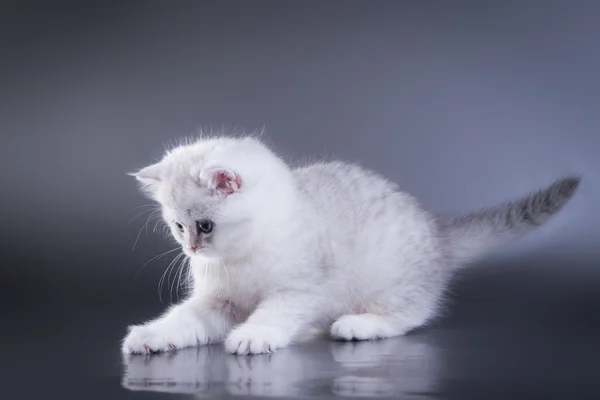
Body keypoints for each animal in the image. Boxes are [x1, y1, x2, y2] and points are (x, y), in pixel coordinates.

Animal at [120, 135, 580, 356]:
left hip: (388, 281)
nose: (192, 250)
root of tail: (436, 229)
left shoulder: (300, 289)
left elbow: (275, 312)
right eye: (178, 227)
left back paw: (358, 325)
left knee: (410, 315)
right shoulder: (218, 302)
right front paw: (151, 337)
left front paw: (253, 335)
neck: (242, 256)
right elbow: (184, 320)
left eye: (205, 225)